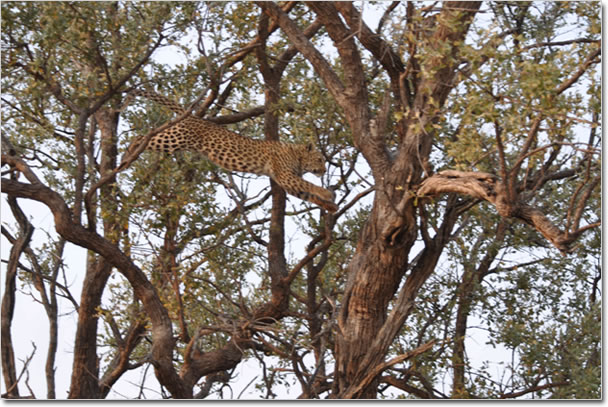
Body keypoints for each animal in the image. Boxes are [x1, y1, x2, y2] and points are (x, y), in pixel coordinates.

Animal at [127, 90, 338, 214]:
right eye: (320, 159)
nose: (324, 171)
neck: (298, 156)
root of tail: (195, 117)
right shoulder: (286, 175)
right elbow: (309, 185)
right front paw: (327, 194)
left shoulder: (287, 181)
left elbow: (307, 193)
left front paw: (330, 206)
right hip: (175, 139)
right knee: (140, 137)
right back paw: (127, 155)